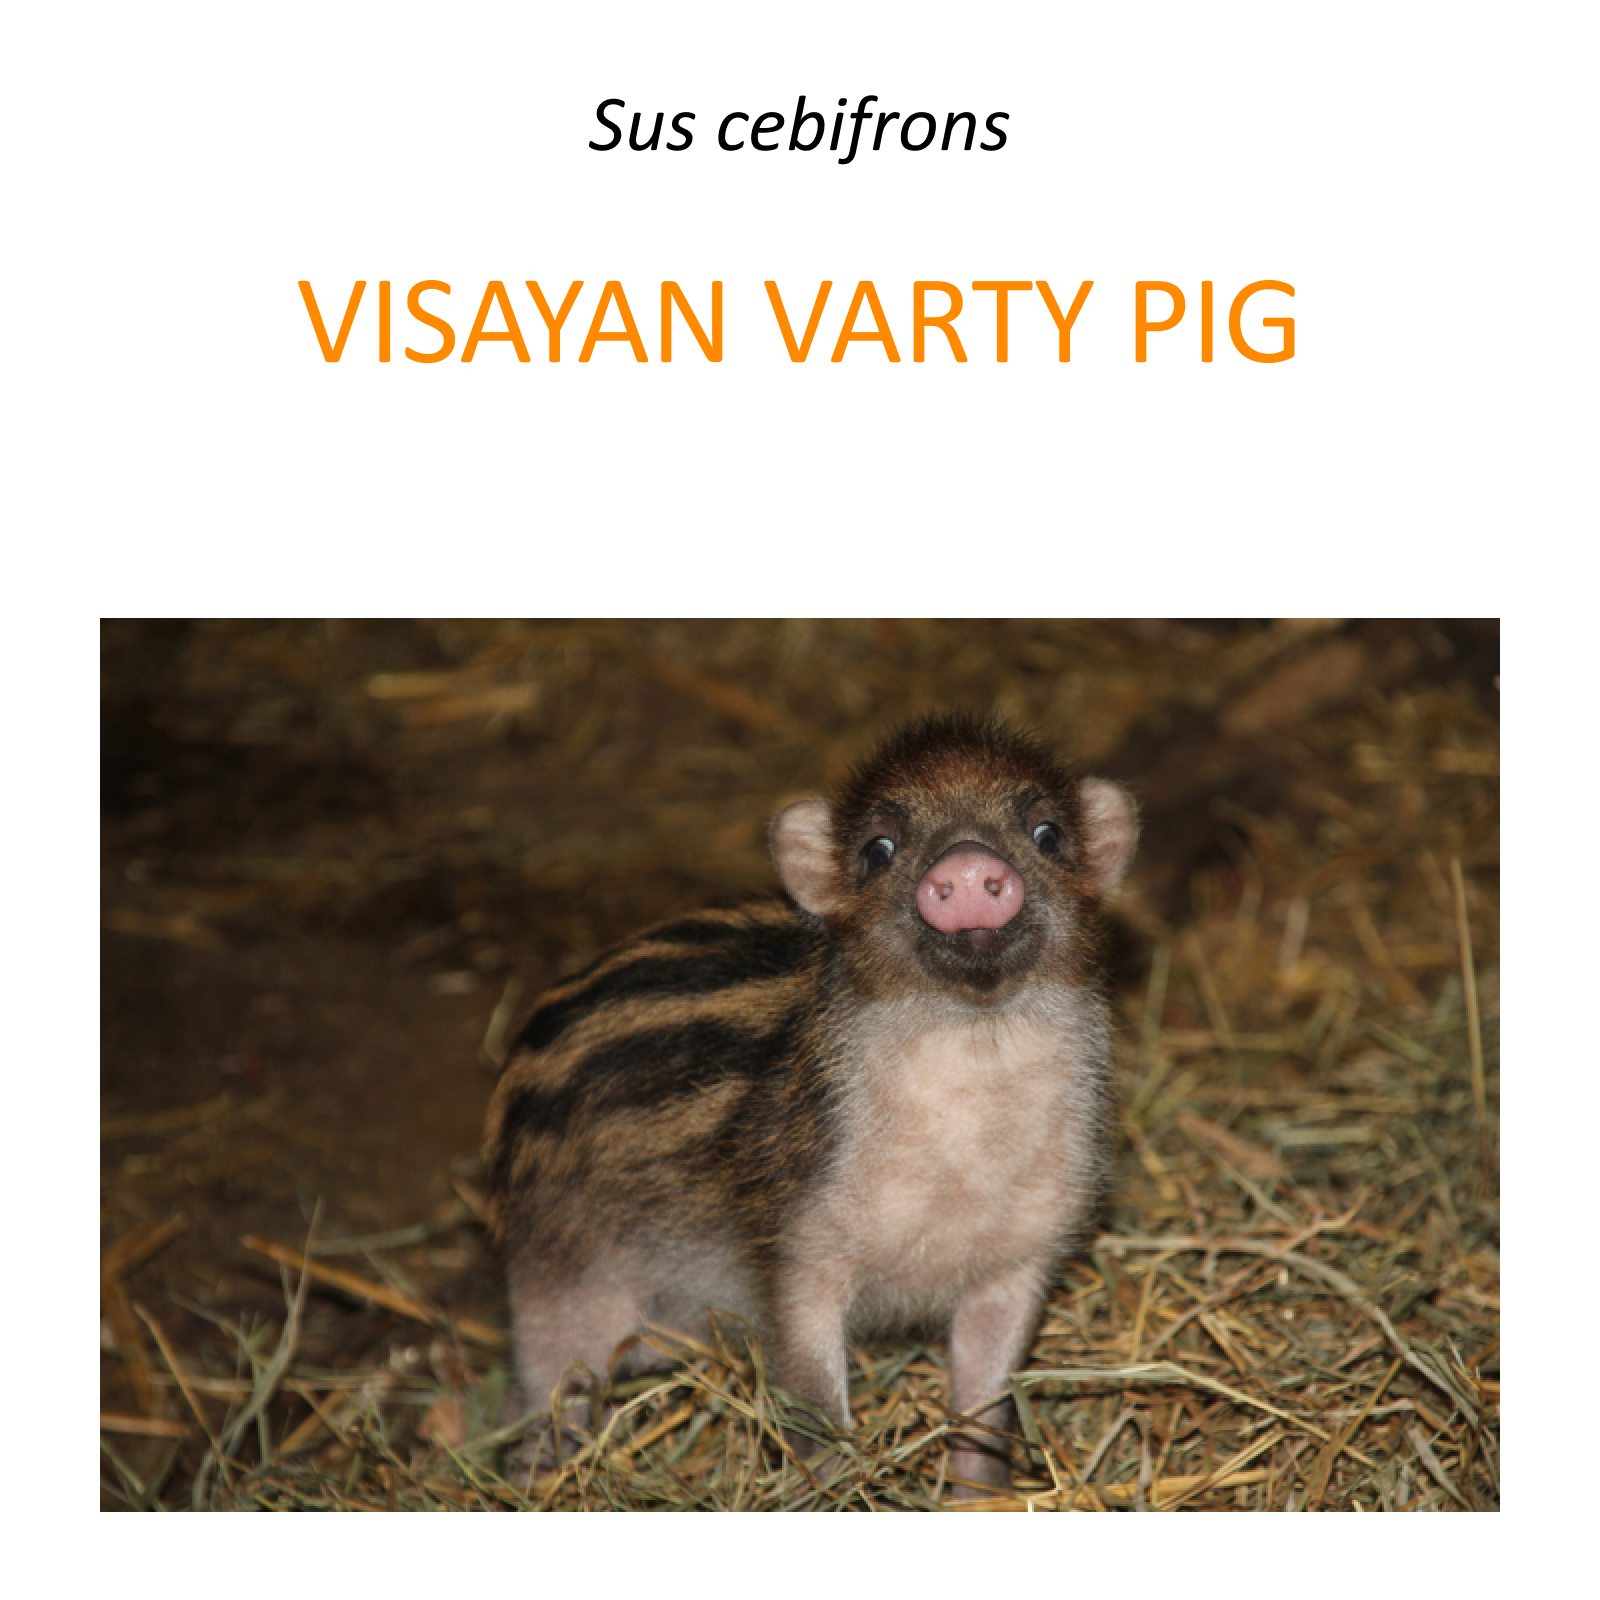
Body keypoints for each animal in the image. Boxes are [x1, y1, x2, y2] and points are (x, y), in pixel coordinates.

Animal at [482, 713, 1138, 1495]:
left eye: (1045, 835)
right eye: (878, 850)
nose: (965, 864)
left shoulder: (1021, 1258)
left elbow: (984, 1407)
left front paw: (982, 1498)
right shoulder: (798, 1247)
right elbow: (815, 1402)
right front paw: (835, 1489)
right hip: (559, 1279)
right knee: (544, 1393)